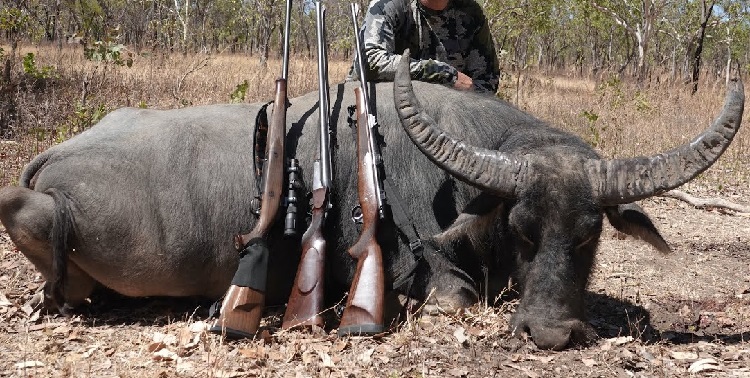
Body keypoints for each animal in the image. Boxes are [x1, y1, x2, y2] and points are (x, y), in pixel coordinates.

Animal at [0, 53, 744, 348]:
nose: (551, 333)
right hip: (37, 212)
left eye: (590, 232)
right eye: (524, 226)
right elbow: (457, 297)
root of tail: (56, 159)